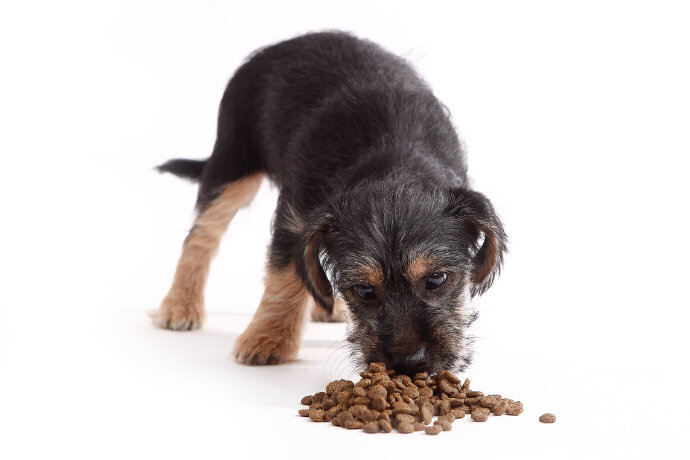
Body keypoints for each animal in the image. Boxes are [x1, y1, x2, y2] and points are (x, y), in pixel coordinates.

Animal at [155, 33, 506, 378]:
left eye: (436, 279)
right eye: (364, 291)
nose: (409, 362)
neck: (394, 158)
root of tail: (291, 41)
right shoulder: (295, 218)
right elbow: (285, 273)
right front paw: (268, 338)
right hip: (233, 162)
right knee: (203, 233)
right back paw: (180, 305)